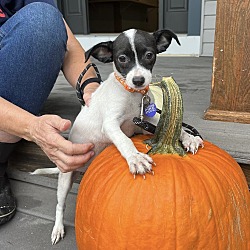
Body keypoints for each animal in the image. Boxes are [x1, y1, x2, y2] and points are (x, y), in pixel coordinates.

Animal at [31, 28, 203, 244]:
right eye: (122, 58)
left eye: (149, 55)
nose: (138, 80)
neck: (132, 96)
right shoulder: (111, 125)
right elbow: (124, 140)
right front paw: (136, 158)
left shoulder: (147, 122)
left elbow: (173, 126)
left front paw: (189, 137)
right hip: (65, 179)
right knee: (59, 205)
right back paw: (58, 228)